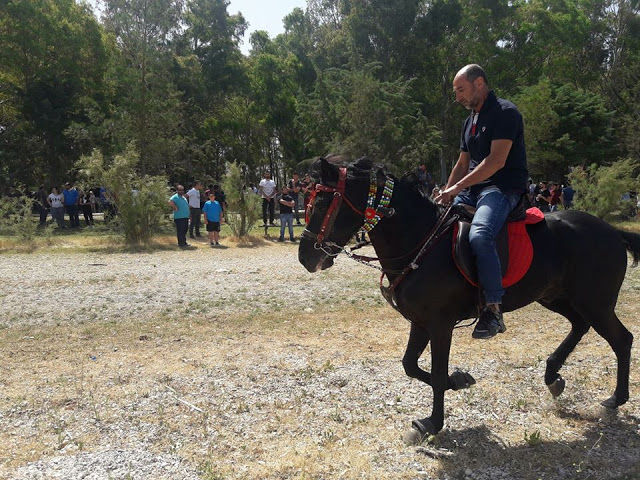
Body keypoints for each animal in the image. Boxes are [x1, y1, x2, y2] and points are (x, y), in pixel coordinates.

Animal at [298, 156, 636, 444]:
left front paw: (431, 423)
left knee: (622, 339)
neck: (421, 242)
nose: (305, 257)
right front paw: (459, 380)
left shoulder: (440, 324)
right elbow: (410, 365)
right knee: (580, 326)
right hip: (557, 297)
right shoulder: (420, 322)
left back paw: (614, 400)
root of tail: (613, 231)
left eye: (324, 201)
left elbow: (435, 374)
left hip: (595, 302)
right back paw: (553, 377)